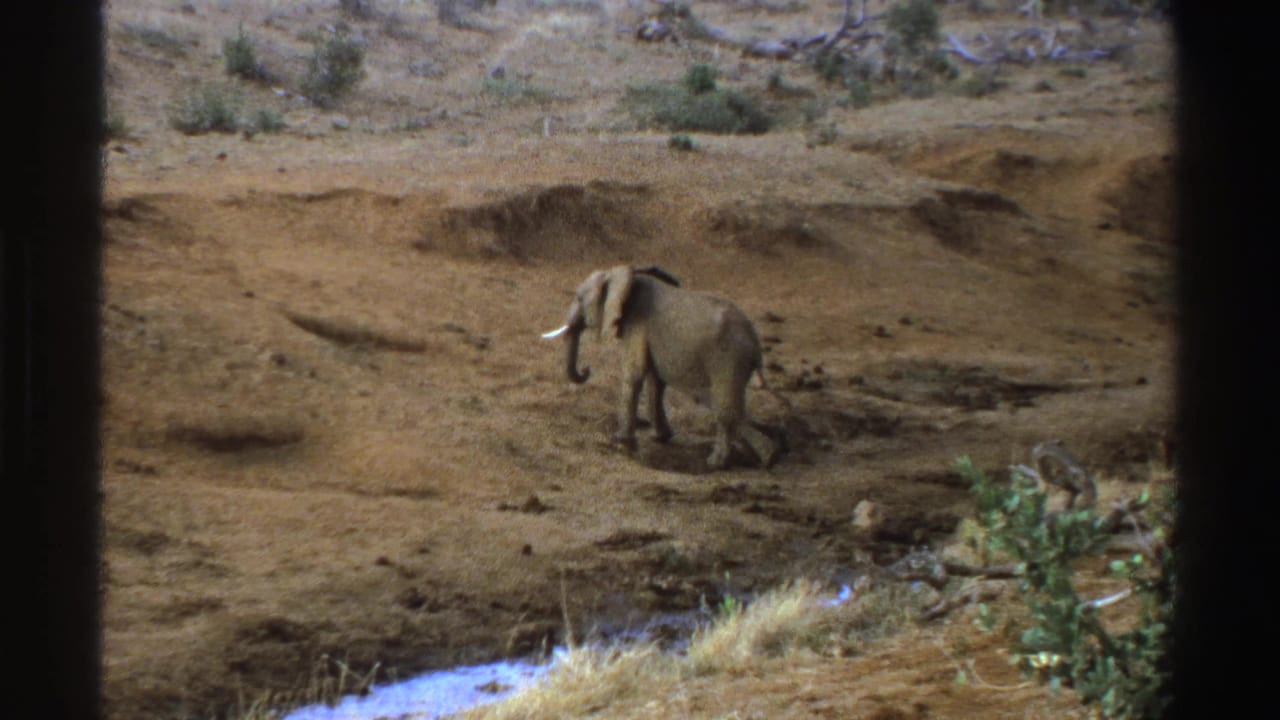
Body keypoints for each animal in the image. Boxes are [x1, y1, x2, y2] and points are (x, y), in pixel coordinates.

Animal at [543, 265, 781, 470]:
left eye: (579, 298)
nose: (586, 370)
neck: (624, 274)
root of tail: (755, 343)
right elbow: (655, 380)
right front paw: (660, 437)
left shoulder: (637, 325)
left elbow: (634, 374)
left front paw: (621, 441)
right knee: (726, 407)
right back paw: (767, 455)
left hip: (727, 360)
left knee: (724, 410)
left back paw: (718, 463)